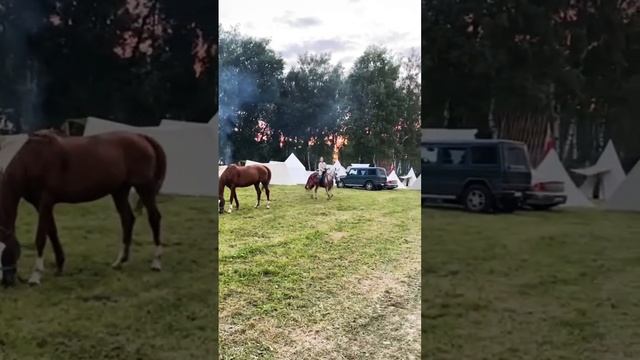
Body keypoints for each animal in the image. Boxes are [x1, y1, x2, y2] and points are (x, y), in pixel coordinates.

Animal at [0, 130, 168, 286]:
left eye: (6, 251)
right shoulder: (40, 204)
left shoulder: (45, 202)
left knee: (154, 217)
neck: (33, 159)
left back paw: (156, 262)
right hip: (119, 191)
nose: (5, 281)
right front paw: (59, 265)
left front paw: (35, 276)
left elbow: (41, 237)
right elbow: (52, 232)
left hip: (144, 188)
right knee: (127, 219)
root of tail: (141, 136)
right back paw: (119, 261)